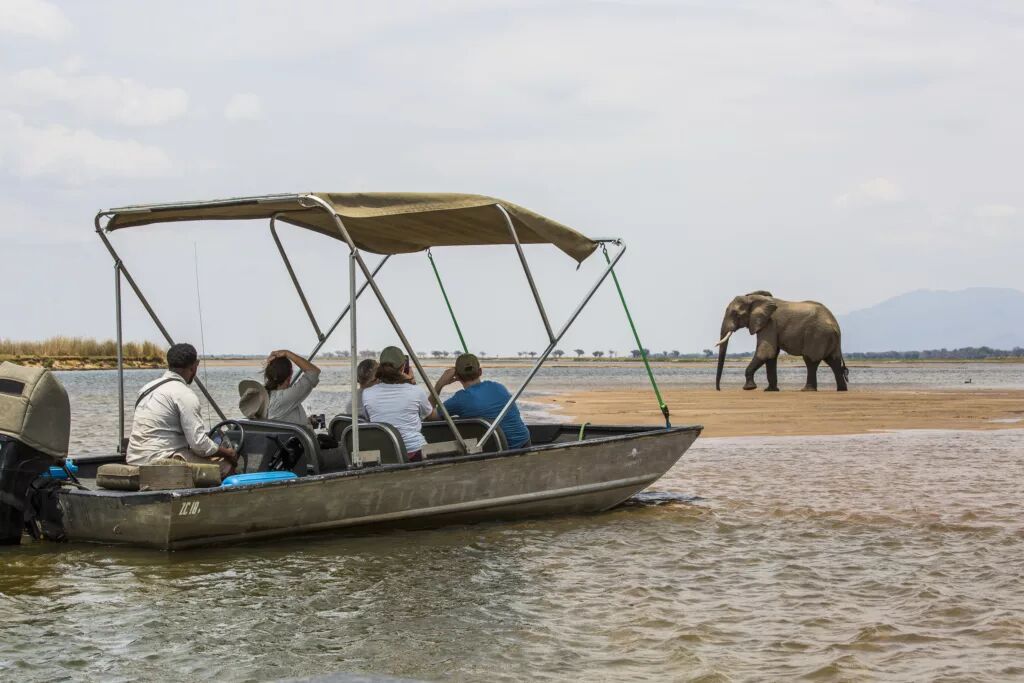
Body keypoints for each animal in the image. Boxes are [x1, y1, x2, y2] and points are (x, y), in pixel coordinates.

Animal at [714, 291, 848, 392]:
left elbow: (766, 352)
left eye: (736, 314)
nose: (719, 389)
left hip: (817, 335)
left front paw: (749, 388)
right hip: (828, 338)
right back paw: (842, 390)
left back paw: (807, 390)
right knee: (834, 362)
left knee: (810, 360)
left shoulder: (770, 324)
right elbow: (771, 355)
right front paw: (770, 390)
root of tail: (836, 325)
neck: (754, 297)